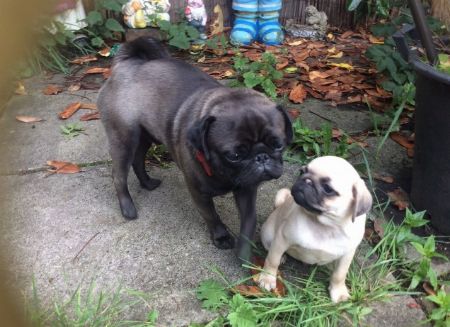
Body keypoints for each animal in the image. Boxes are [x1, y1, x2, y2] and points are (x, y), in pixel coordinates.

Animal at [97, 37, 294, 264]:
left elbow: (249, 221)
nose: (261, 157)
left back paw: (147, 183)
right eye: (234, 155)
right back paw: (128, 208)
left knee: (138, 160)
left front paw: (244, 254)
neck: (222, 175)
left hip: (146, 135)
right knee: (119, 175)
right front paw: (221, 237)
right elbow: (211, 215)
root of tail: (125, 65)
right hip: (124, 137)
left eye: (278, 145)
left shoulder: (247, 190)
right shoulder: (199, 193)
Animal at [258, 156, 370, 302]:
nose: (306, 180)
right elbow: (272, 260)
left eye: (328, 189)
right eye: (301, 172)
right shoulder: (282, 239)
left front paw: (339, 292)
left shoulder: (347, 255)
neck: (325, 225)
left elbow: (339, 275)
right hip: (268, 235)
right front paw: (267, 278)